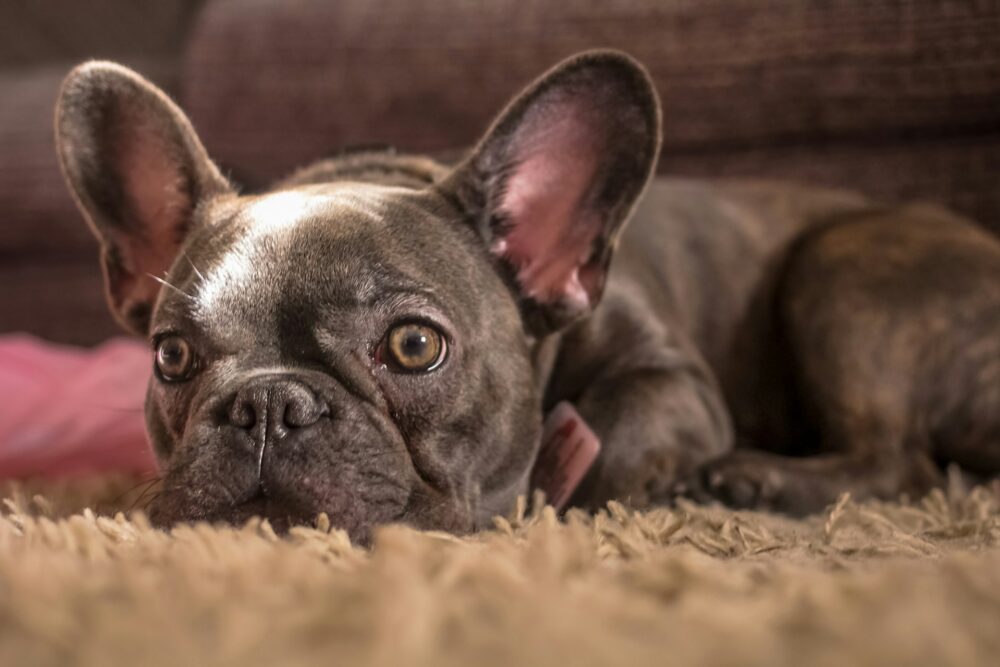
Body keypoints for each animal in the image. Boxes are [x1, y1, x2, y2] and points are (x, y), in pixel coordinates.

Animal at [52, 51, 1000, 544]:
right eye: (172, 356)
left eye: (413, 346)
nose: (266, 404)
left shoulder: (676, 380)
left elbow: (615, 428)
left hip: (839, 272)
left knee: (902, 459)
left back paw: (753, 480)